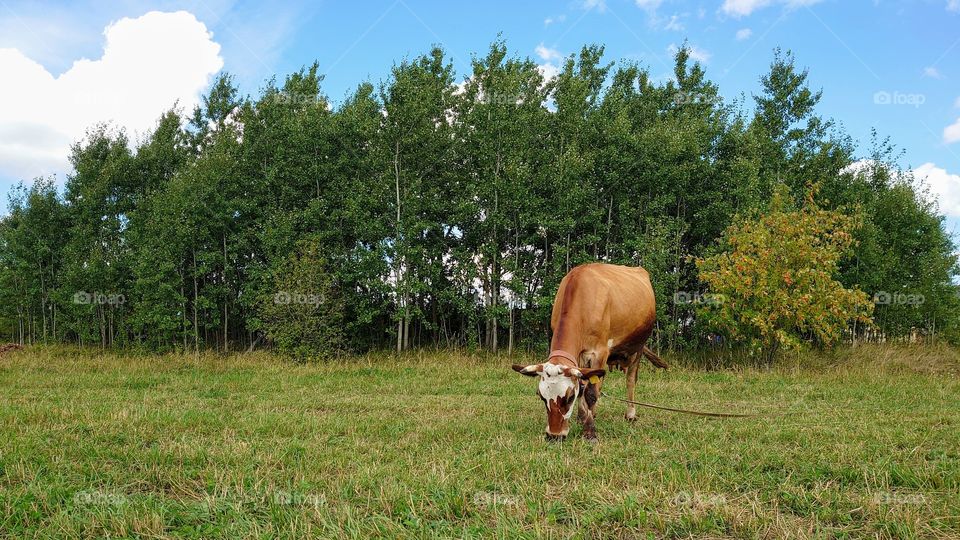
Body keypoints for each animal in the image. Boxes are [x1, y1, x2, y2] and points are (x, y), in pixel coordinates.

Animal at [512, 263, 667, 441]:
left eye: (569, 398)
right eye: (541, 396)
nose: (554, 435)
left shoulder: (599, 353)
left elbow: (591, 393)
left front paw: (590, 431)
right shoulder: (579, 358)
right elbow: (582, 385)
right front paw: (582, 416)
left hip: (638, 347)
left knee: (630, 380)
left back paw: (630, 413)